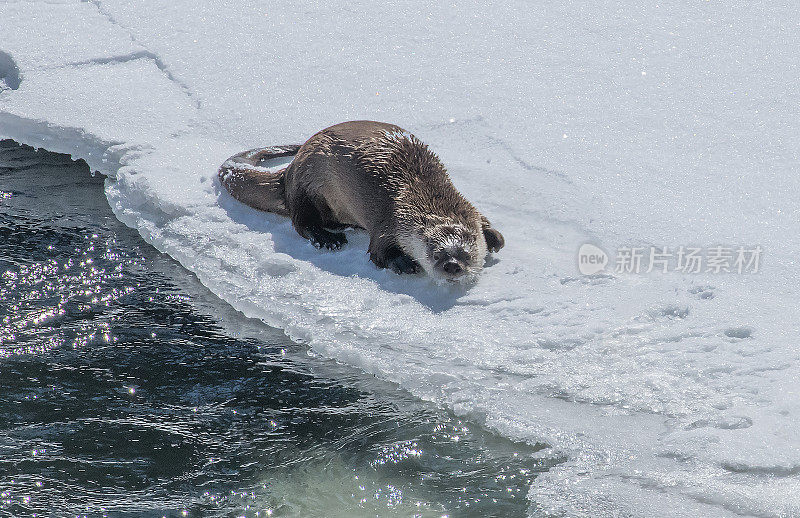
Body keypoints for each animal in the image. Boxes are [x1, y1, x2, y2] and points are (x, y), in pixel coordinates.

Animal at [217, 121, 506, 284]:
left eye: (466, 254)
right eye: (435, 253)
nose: (452, 266)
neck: (427, 195)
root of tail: (289, 171)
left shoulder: (469, 208)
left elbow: (488, 227)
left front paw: (495, 238)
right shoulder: (391, 221)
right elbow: (378, 251)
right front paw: (405, 264)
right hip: (305, 186)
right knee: (302, 222)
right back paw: (328, 238)